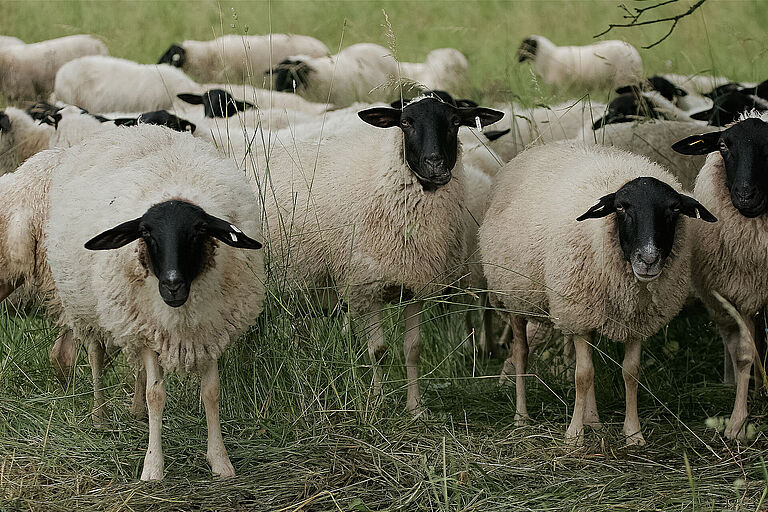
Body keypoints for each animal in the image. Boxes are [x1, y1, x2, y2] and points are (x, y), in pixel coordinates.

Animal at [37, 126, 265, 480]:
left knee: (137, 372)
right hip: (91, 311)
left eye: (200, 232)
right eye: (145, 233)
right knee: (96, 356)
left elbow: (211, 392)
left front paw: (220, 461)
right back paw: (100, 416)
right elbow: (156, 394)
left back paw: (136, 412)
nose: (172, 284)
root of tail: (136, 126)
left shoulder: (210, 329)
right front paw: (153, 468)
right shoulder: (144, 328)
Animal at [479, 142, 716, 444]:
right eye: (621, 208)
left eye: (674, 209)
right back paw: (522, 417)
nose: (648, 259)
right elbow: (583, 375)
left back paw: (593, 420)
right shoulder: (578, 311)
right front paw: (573, 435)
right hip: (517, 296)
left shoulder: (635, 320)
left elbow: (630, 373)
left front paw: (633, 433)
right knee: (521, 352)